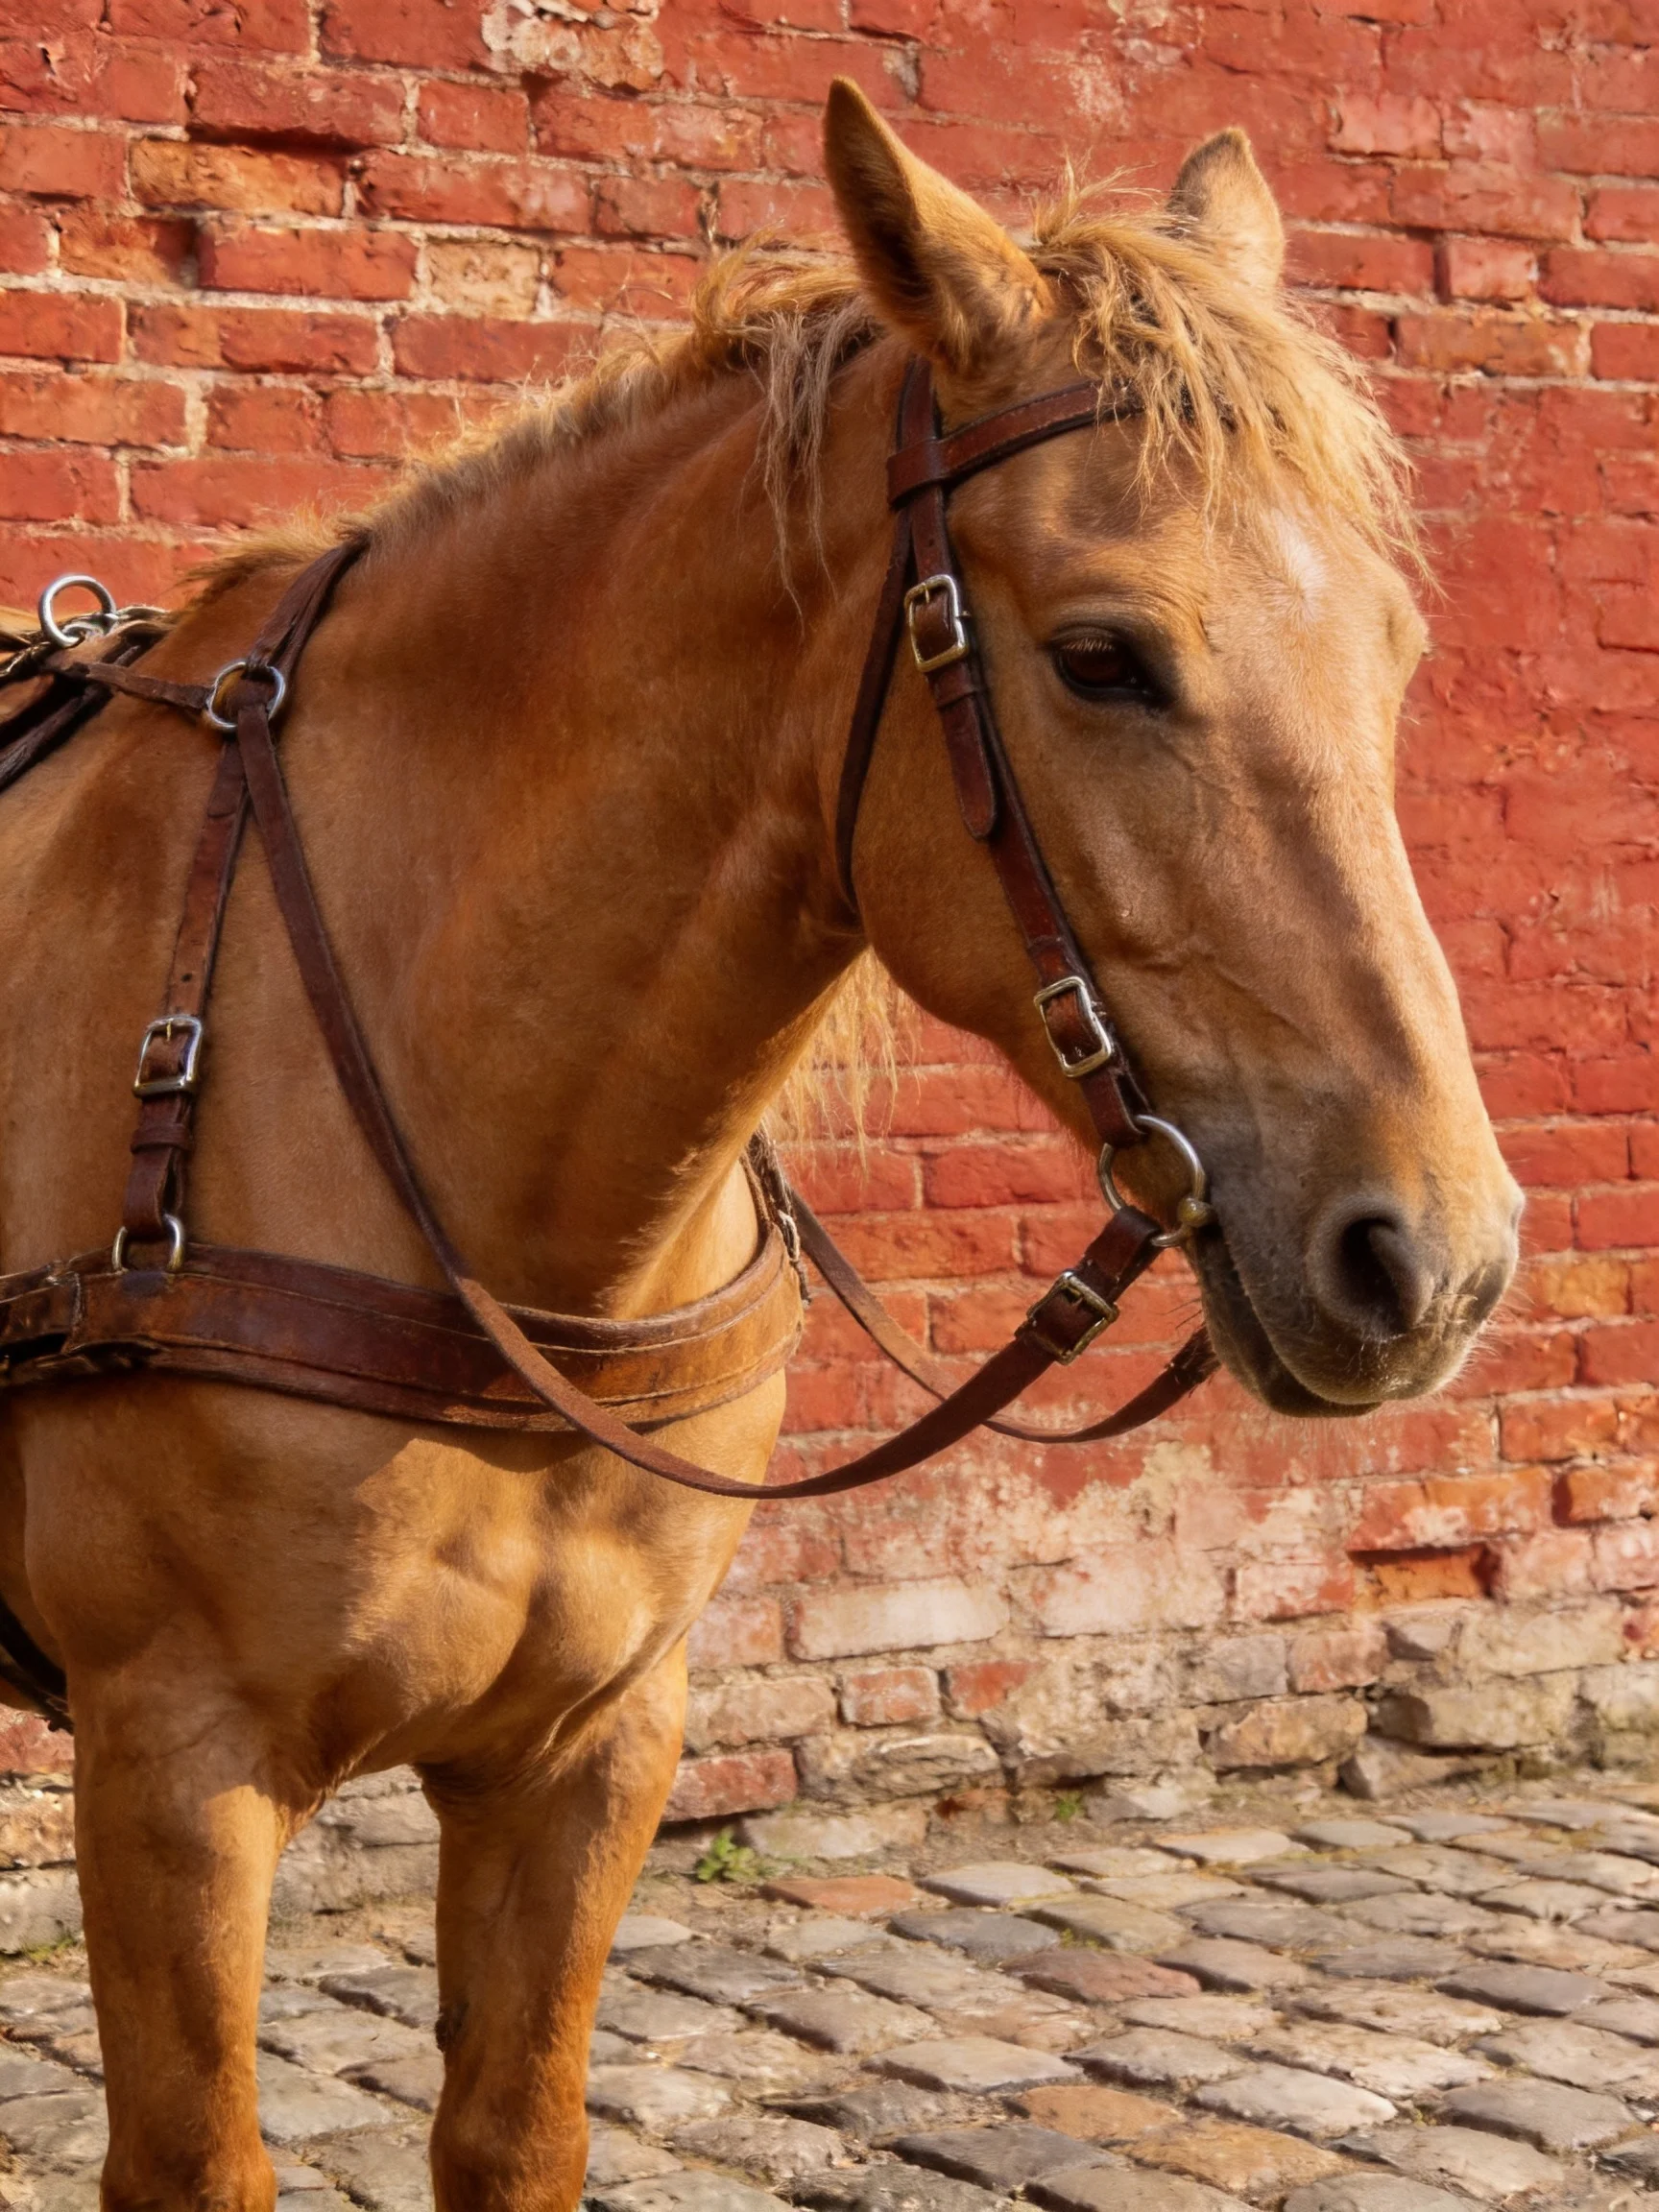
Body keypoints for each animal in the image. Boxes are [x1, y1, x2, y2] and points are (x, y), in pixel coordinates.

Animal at [0, 79, 1520, 2212]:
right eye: (1103, 656)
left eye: (1388, 648)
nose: (1432, 1257)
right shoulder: (171, 1773)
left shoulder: (591, 1752)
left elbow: (517, 2130)